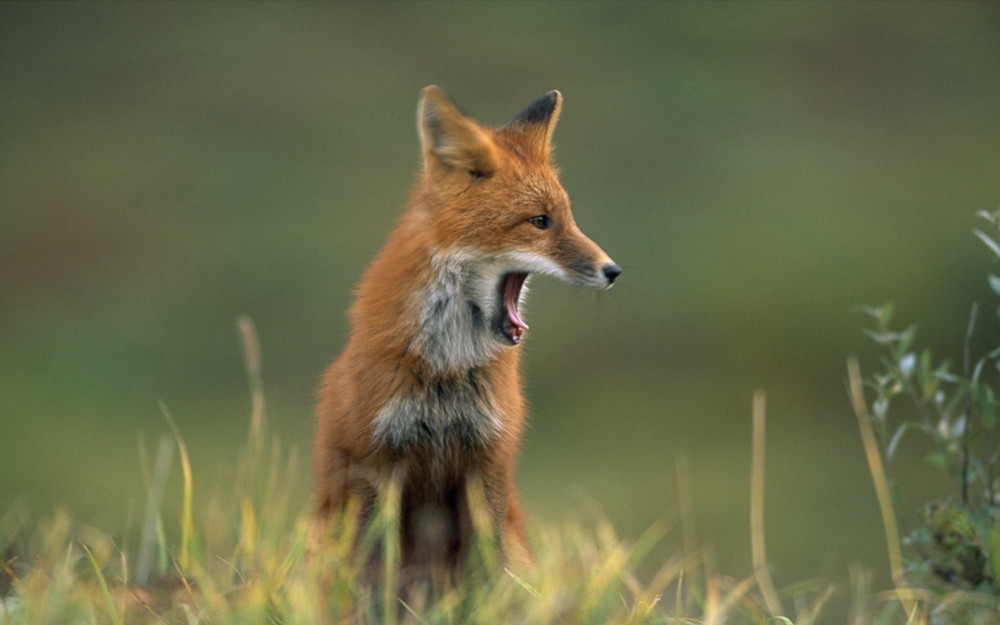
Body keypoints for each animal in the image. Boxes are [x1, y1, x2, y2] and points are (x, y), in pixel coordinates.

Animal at [316, 86, 620, 572]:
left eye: (568, 218)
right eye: (540, 221)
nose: (613, 271)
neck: (446, 369)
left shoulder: (487, 460)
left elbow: (488, 568)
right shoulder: (374, 462)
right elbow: (370, 570)